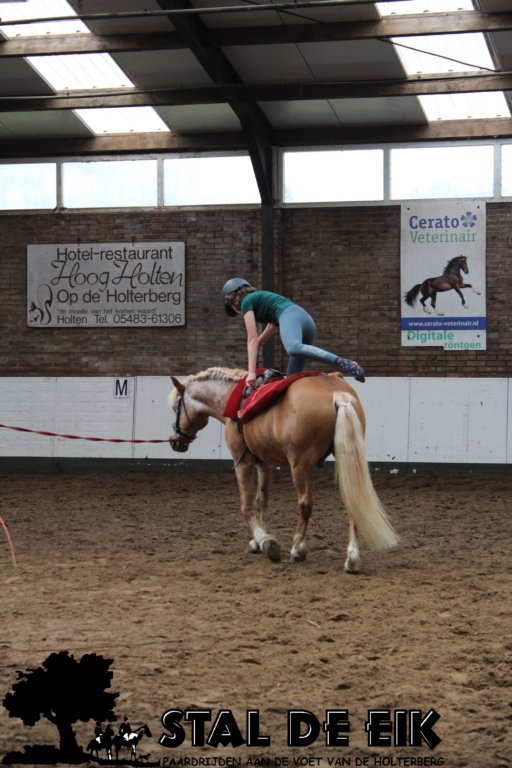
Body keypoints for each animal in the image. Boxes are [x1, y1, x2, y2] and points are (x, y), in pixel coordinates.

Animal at [168, 367, 398, 573]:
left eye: (175, 408)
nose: (175, 441)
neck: (230, 399)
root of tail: (337, 394)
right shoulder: (264, 463)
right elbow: (261, 501)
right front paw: (257, 540)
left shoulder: (243, 463)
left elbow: (246, 506)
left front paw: (264, 541)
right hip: (346, 460)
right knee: (353, 504)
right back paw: (352, 559)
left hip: (300, 466)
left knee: (305, 504)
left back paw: (298, 549)